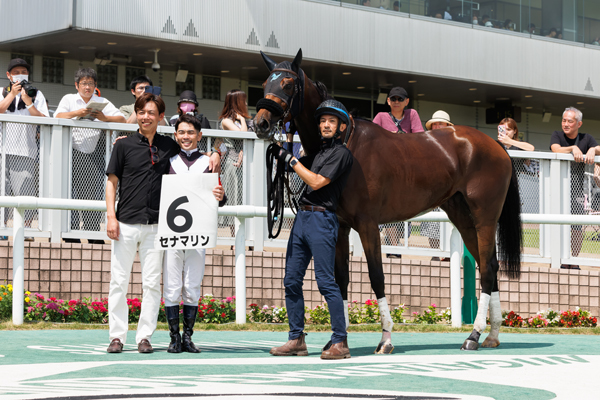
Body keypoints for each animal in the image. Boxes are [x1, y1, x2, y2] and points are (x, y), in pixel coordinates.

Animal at [255, 50, 524, 354]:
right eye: (265, 83)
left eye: (288, 84)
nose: (260, 123)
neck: (346, 143)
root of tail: (496, 145)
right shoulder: (341, 227)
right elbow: (341, 279)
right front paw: (338, 340)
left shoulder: (368, 224)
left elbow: (377, 276)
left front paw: (385, 339)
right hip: (463, 217)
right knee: (490, 264)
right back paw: (492, 334)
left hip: (484, 217)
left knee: (488, 268)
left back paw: (474, 335)